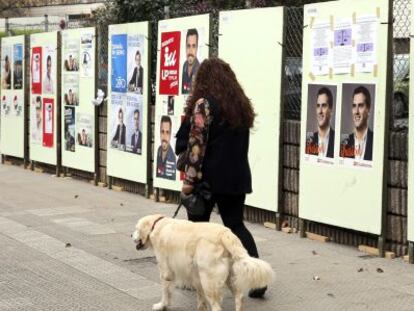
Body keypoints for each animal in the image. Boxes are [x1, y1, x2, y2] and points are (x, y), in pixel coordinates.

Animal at [133, 214, 274, 311]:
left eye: (136, 229)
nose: (130, 235)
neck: (157, 225)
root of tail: (225, 234)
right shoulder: (196, 275)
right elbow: (200, 297)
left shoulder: (166, 271)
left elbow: (166, 292)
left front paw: (162, 305)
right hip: (228, 277)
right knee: (239, 297)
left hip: (209, 281)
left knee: (217, 307)